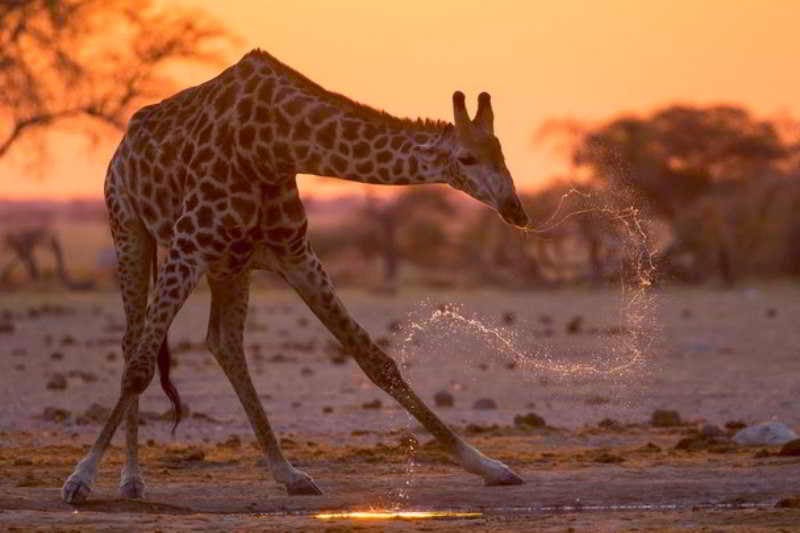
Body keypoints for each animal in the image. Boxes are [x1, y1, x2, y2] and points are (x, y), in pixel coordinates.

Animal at [62, 50, 532, 502]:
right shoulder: (189, 243)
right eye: (467, 157)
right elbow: (139, 368)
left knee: (223, 342)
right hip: (129, 229)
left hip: (229, 264)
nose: (516, 209)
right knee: (134, 343)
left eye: (503, 153)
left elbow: (375, 359)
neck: (274, 144)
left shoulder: (293, 250)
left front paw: (489, 466)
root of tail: (123, 144)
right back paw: (131, 479)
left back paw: (287, 473)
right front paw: (80, 478)